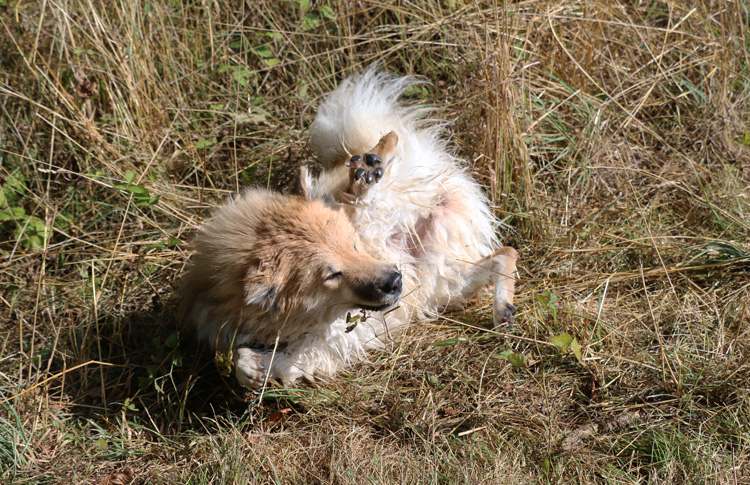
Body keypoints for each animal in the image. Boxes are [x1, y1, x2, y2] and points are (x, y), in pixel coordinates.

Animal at [180, 69, 520, 386]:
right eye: (332, 275)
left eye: (353, 247)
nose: (395, 281)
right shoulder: (323, 344)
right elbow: (264, 361)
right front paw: (253, 369)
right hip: (443, 279)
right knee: (505, 254)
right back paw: (503, 308)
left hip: (378, 217)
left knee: (377, 166)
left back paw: (371, 165)